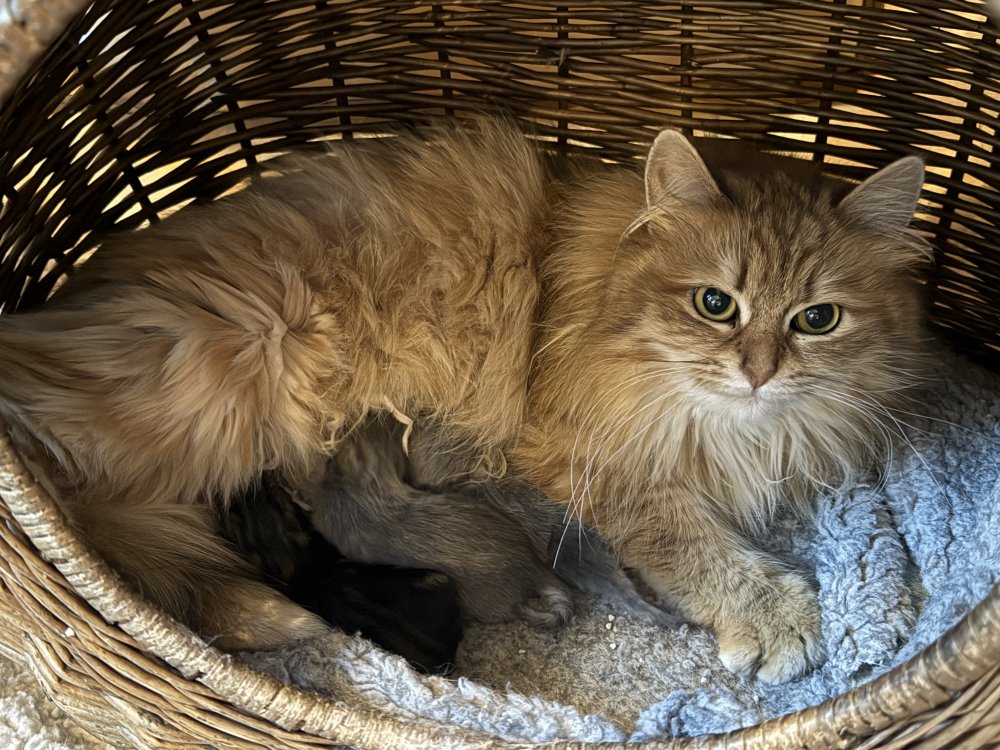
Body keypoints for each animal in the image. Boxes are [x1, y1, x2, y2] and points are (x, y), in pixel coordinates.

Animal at [0, 118, 930, 684]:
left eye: (818, 319)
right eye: (714, 304)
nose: (760, 371)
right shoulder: (589, 454)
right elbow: (692, 541)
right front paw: (771, 617)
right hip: (217, 375)